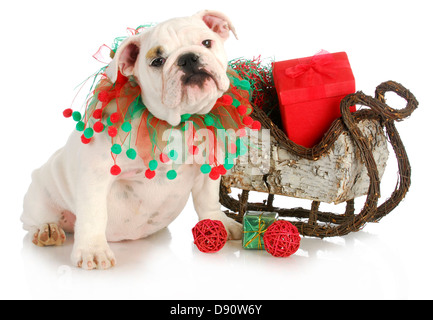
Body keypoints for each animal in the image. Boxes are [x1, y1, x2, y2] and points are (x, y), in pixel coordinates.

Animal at [21, 10, 243, 270]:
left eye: (207, 43)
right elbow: (94, 214)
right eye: (157, 62)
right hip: (39, 196)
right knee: (34, 222)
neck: (174, 123)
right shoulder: (96, 173)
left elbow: (208, 199)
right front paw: (93, 250)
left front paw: (218, 223)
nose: (188, 58)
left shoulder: (208, 166)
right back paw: (48, 230)